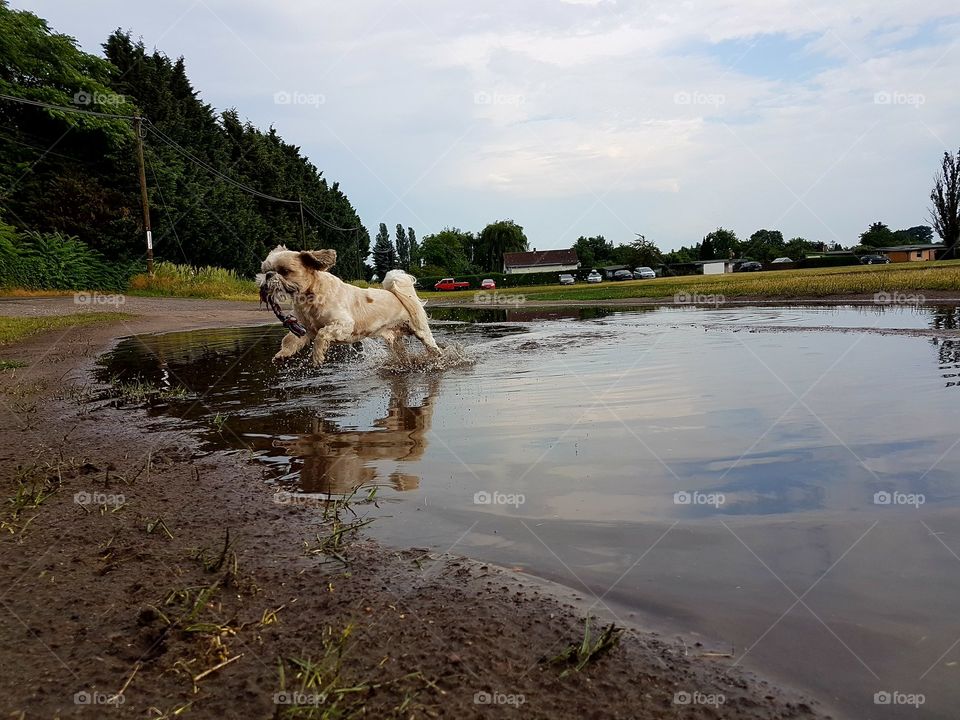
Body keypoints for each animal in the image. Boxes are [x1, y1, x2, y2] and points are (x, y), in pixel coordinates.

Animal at [256, 246, 440, 366]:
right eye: (265, 270)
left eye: (285, 271)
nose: (268, 275)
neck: (310, 297)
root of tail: (396, 295)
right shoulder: (306, 329)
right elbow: (290, 339)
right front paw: (282, 354)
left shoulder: (343, 324)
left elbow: (322, 334)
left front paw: (317, 356)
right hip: (395, 341)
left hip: (422, 333)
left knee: (432, 347)